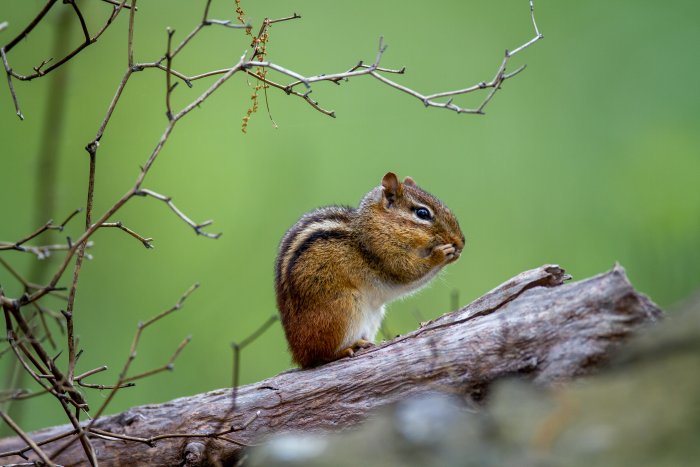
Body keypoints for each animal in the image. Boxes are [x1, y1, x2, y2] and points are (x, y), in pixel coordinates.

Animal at [275, 172, 465, 368]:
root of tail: (299, 355)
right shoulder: (386, 255)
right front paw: (441, 254)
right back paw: (346, 349)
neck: (374, 226)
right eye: (422, 213)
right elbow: (410, 272)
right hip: (344, 308)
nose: (461, 241)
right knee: (320, 357)